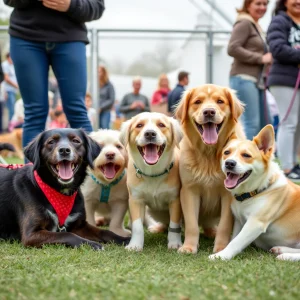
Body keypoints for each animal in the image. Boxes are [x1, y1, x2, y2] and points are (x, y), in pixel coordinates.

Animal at [0, 128, 128, 248]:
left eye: (76, 141)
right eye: (51, 142)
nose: (64, 150)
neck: (58, 191)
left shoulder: (79, 225)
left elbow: (105, 232)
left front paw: (125, 240)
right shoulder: (31, 234)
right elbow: (67, 234)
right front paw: (92, 244)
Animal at [119, 111, 183, 250]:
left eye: (161, 125)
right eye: (139, 125)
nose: (149, 134)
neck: (153, 173)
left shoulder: (175, 200)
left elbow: (174, 225)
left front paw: (174, 243)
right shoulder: (135, 199)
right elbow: (137, 226)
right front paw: (135, 245)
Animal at [210, 124, 300, 260]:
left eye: (246, 155)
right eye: (226, 152)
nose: (229, 163)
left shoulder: (255, 223)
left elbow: (236, 242)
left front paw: (221, 256)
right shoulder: (239, 221)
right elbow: (234, 238)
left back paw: (286, 256)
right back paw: (280, 249)